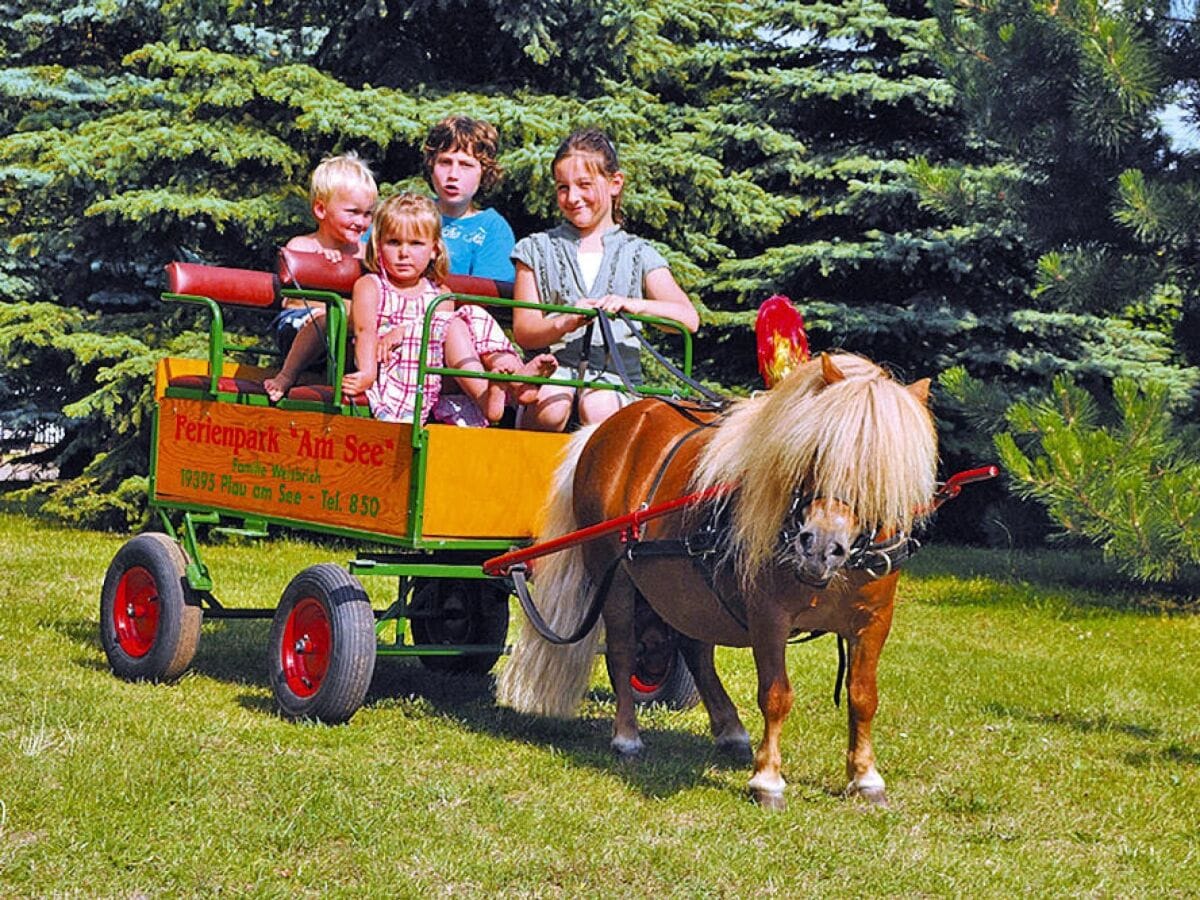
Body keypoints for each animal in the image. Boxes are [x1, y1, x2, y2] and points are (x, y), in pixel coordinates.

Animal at [496, 350, 936, 811]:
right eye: (816, 450)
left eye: (881, 469)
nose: (818, 546)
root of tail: (604, 428)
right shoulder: (769, 617)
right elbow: (776, 695)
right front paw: (767, 780)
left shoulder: (874, 620)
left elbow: (863, 697)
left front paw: (865, 777)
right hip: (612, 576)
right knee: (622, 654)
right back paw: (627, 737)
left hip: (688, 589)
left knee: (695, 650)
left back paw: (730, 730)